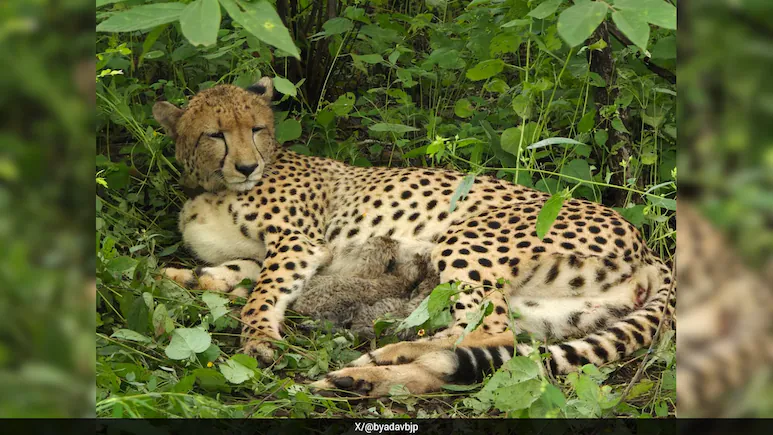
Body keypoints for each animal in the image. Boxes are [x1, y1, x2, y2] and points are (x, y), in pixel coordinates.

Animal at [152, 77, 676, 397]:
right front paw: (172, 279)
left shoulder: (297, 244)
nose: (246, 166)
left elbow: (259, 295)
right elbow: (224, 274)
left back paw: (379, 360)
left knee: (491, 331)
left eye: (257, 128)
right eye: (215, 134)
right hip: (554, 311)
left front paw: (258, 338)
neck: (213, 186)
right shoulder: (264, 256)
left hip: (467, 237)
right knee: (483, 346)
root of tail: (649, 246)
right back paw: (368, 374)